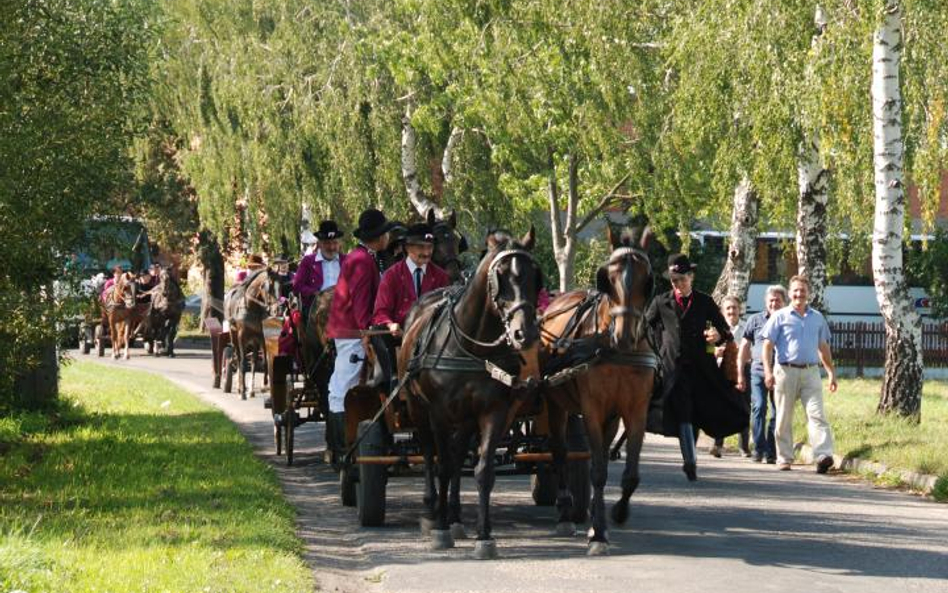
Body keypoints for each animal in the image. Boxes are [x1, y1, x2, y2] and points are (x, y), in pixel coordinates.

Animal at [224, 268, 280, 398]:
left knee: (253, 360)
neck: (252, 306)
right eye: (269, 287)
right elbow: (243, 363)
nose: (276, 310)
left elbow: (263, 362)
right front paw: (242, 391)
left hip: (254, 340)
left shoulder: (260, 337)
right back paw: (239, 387)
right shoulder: (241, 336)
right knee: (238, 358)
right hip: (234, 335)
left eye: (280, 286)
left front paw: (261, 387)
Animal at [398, 224, 544, 556]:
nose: (524, 333)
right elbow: (441, 465)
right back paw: (432, 510)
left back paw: (454, 516)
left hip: (464, 419)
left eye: (535, 275)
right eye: (500, 275)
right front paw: (440, 529)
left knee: (456, 457)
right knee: (430, 454)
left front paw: (484, 535)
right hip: (417, 408)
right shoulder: (438, 412)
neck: (470, 347)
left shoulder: (493, 411)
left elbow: (482, 470)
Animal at [536, 225, 656, 556]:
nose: (624, 337)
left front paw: (618, 513)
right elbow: (598, 471)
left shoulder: (635, 410)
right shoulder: (592, 409)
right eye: (608, 280)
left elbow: (631, 475)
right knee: (560, 452)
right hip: (555, 403)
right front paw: (599, 533)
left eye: (647, 280)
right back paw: (566, 512)